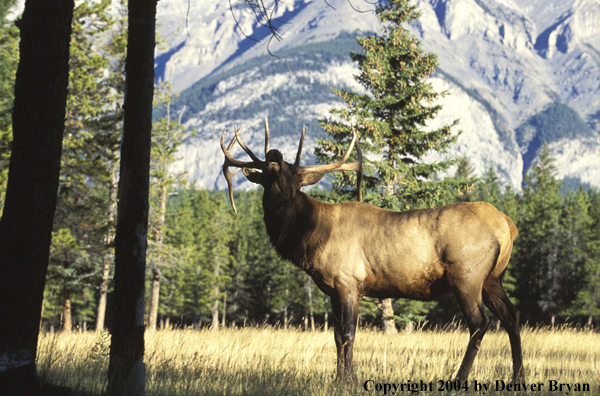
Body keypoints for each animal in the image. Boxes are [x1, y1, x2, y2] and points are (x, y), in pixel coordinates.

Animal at [220, 119, 524, 382]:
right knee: (512, 316)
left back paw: (459, 378)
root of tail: (507, 225)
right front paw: (338, 378)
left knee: (480, 323)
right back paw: (518, 376)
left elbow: (348, 335)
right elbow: (336, 337)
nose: (274, 154)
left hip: (467, 276)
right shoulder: (333, 290)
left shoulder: (348, 283)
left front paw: (349, 379)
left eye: (292, 173)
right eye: (268, 172)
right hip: (492, 279)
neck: (310, 238)